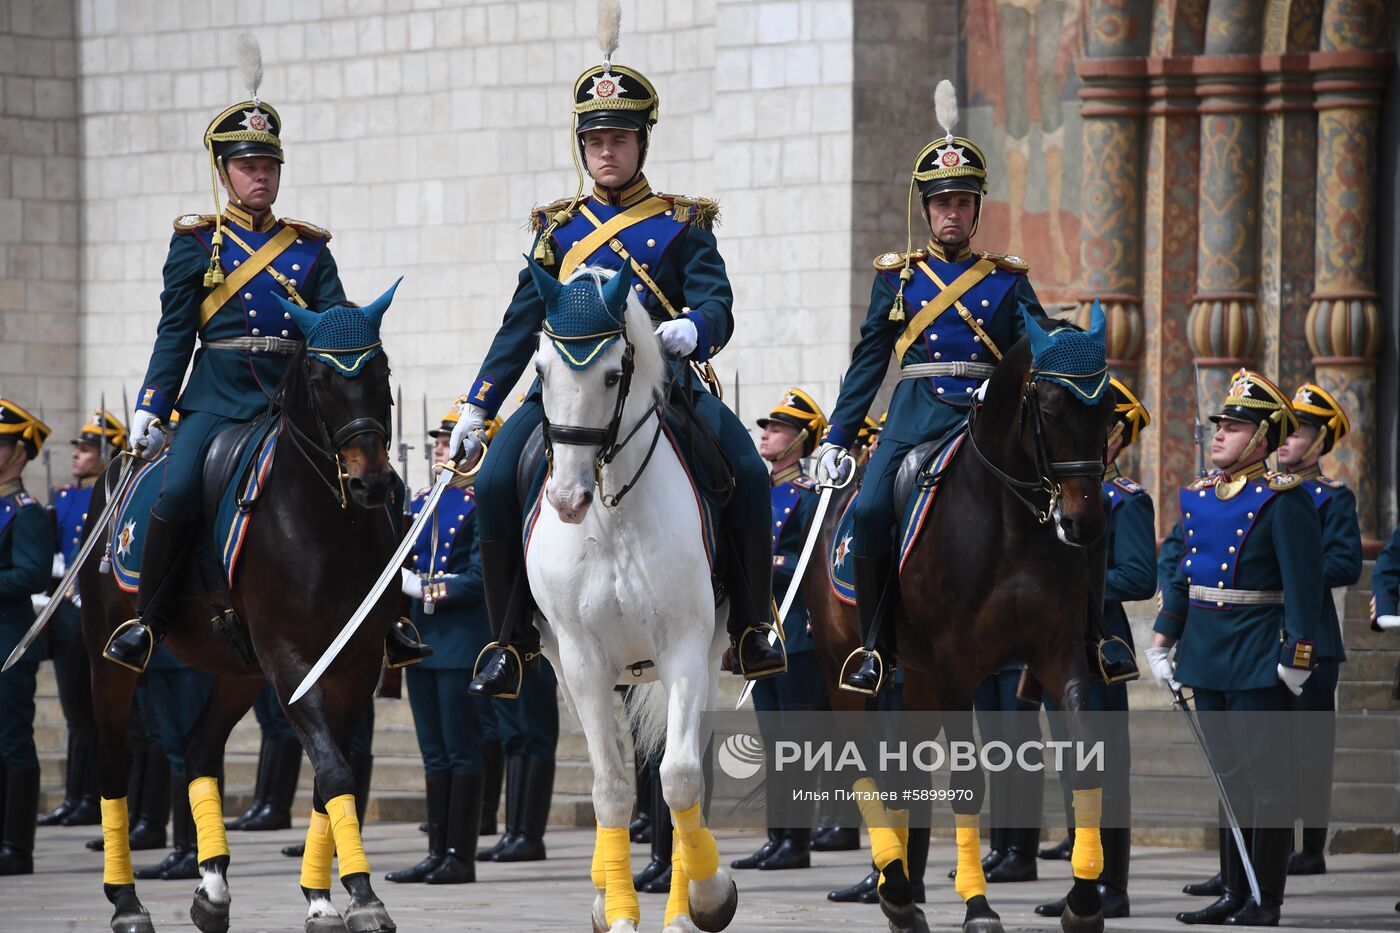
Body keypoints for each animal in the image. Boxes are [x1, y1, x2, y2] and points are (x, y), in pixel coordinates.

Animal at [81, 291, 403, 930]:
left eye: (380, 372)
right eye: (321, 378)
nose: (372, 482)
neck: (327, 524)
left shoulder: (355, 664)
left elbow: (329, 776)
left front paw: (326, 897)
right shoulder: (290, 662)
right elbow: (332, 769)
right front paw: (361, 894)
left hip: (237, 670)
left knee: (199, 747)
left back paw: (212, 886)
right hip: (111, 662)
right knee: (113, 763)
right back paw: (127, 901)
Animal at [523, 263, 744, 930]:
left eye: (612, 375)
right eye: (539, 370)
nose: (566, 499)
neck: (614, 513)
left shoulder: (686, 651)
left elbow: (679, 779)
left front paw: (704, 898)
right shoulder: (583, 662)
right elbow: (612, 788)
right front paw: (618, 910)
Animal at [806, 311, 1108, 930]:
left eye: (1108, 406)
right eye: (1048, 407)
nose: (1084, 523)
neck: (1010, 518)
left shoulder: (1059, 653)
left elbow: (1086, 760)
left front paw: (1084, 900)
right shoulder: (955, 666)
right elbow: (968, 784)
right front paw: (977, 905)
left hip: (917, 675)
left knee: (906, 769)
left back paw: (901, 893)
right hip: (843, 665)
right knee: (864, 766)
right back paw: (895, 884)